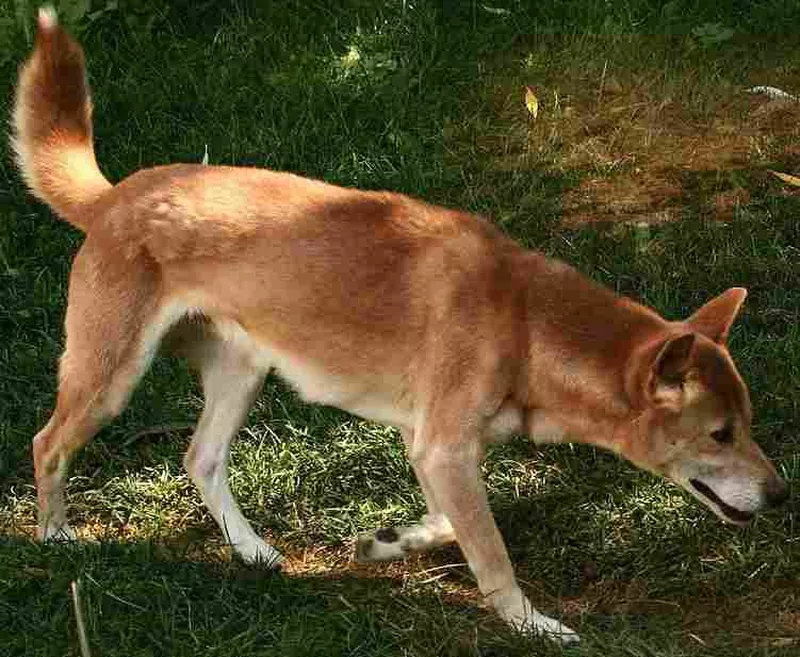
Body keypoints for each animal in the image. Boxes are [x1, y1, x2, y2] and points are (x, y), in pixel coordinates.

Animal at [12, 7, 788, 644]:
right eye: (720, 434)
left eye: (748, 422)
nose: (783, 494)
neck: (525, 322)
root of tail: (118, 194)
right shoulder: (443, 448)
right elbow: (492, 554)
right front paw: (533, 623)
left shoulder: (434, 447)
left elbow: (448, 524)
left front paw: (387, 542)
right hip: (109, 375)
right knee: (48, 443)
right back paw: (56, 537)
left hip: (242, 372)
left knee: (200, 459)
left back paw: (253, 550)